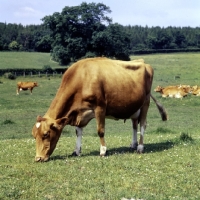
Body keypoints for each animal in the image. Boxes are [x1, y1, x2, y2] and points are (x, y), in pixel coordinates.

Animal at [32, 57, 168, 162]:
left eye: (46, 134)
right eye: (34, 135)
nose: (38, 158)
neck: (81, 78)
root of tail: (143, 62)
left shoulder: (100, 107)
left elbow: (100, 131)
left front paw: (103, 151)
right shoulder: (80, 113)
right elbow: (78, 132)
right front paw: (76, 151)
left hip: (145, 103)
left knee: (143, 125)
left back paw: (140, 147)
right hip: (134, 107)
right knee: (134, 125)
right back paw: (133, 144)